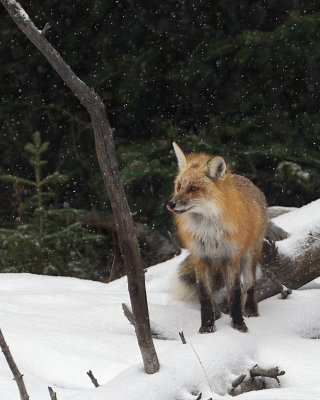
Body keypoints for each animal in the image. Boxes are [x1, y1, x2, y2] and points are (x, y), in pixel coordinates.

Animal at [168, 142, 268, 332]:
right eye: (179, 186)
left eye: (193, 188)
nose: (170, 204)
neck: (209, 232)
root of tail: (248, 180)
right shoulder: (200, 257)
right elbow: (204, 295)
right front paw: (207, 327)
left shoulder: (232, 256)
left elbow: (235, 293)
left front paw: (238, 325)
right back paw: (218, 313)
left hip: (249, 255)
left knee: (249, 284)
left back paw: (250, 310)